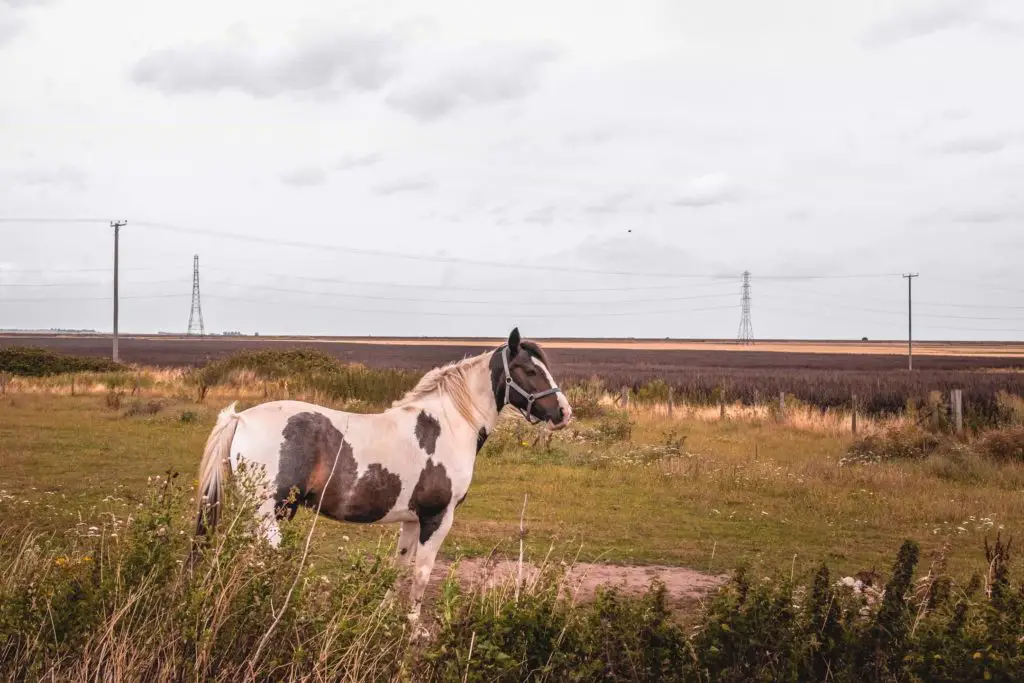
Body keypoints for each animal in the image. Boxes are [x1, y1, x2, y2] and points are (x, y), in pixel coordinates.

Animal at [193, 329, 569, 626]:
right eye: (529, 370)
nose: (564, 413)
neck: (448, 425)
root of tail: (241, 418)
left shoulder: (412, 520)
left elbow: (400, 567)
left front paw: (383, 616)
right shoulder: (438, 517)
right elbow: (422, 573)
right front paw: (414, 628)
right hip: (267, 514)